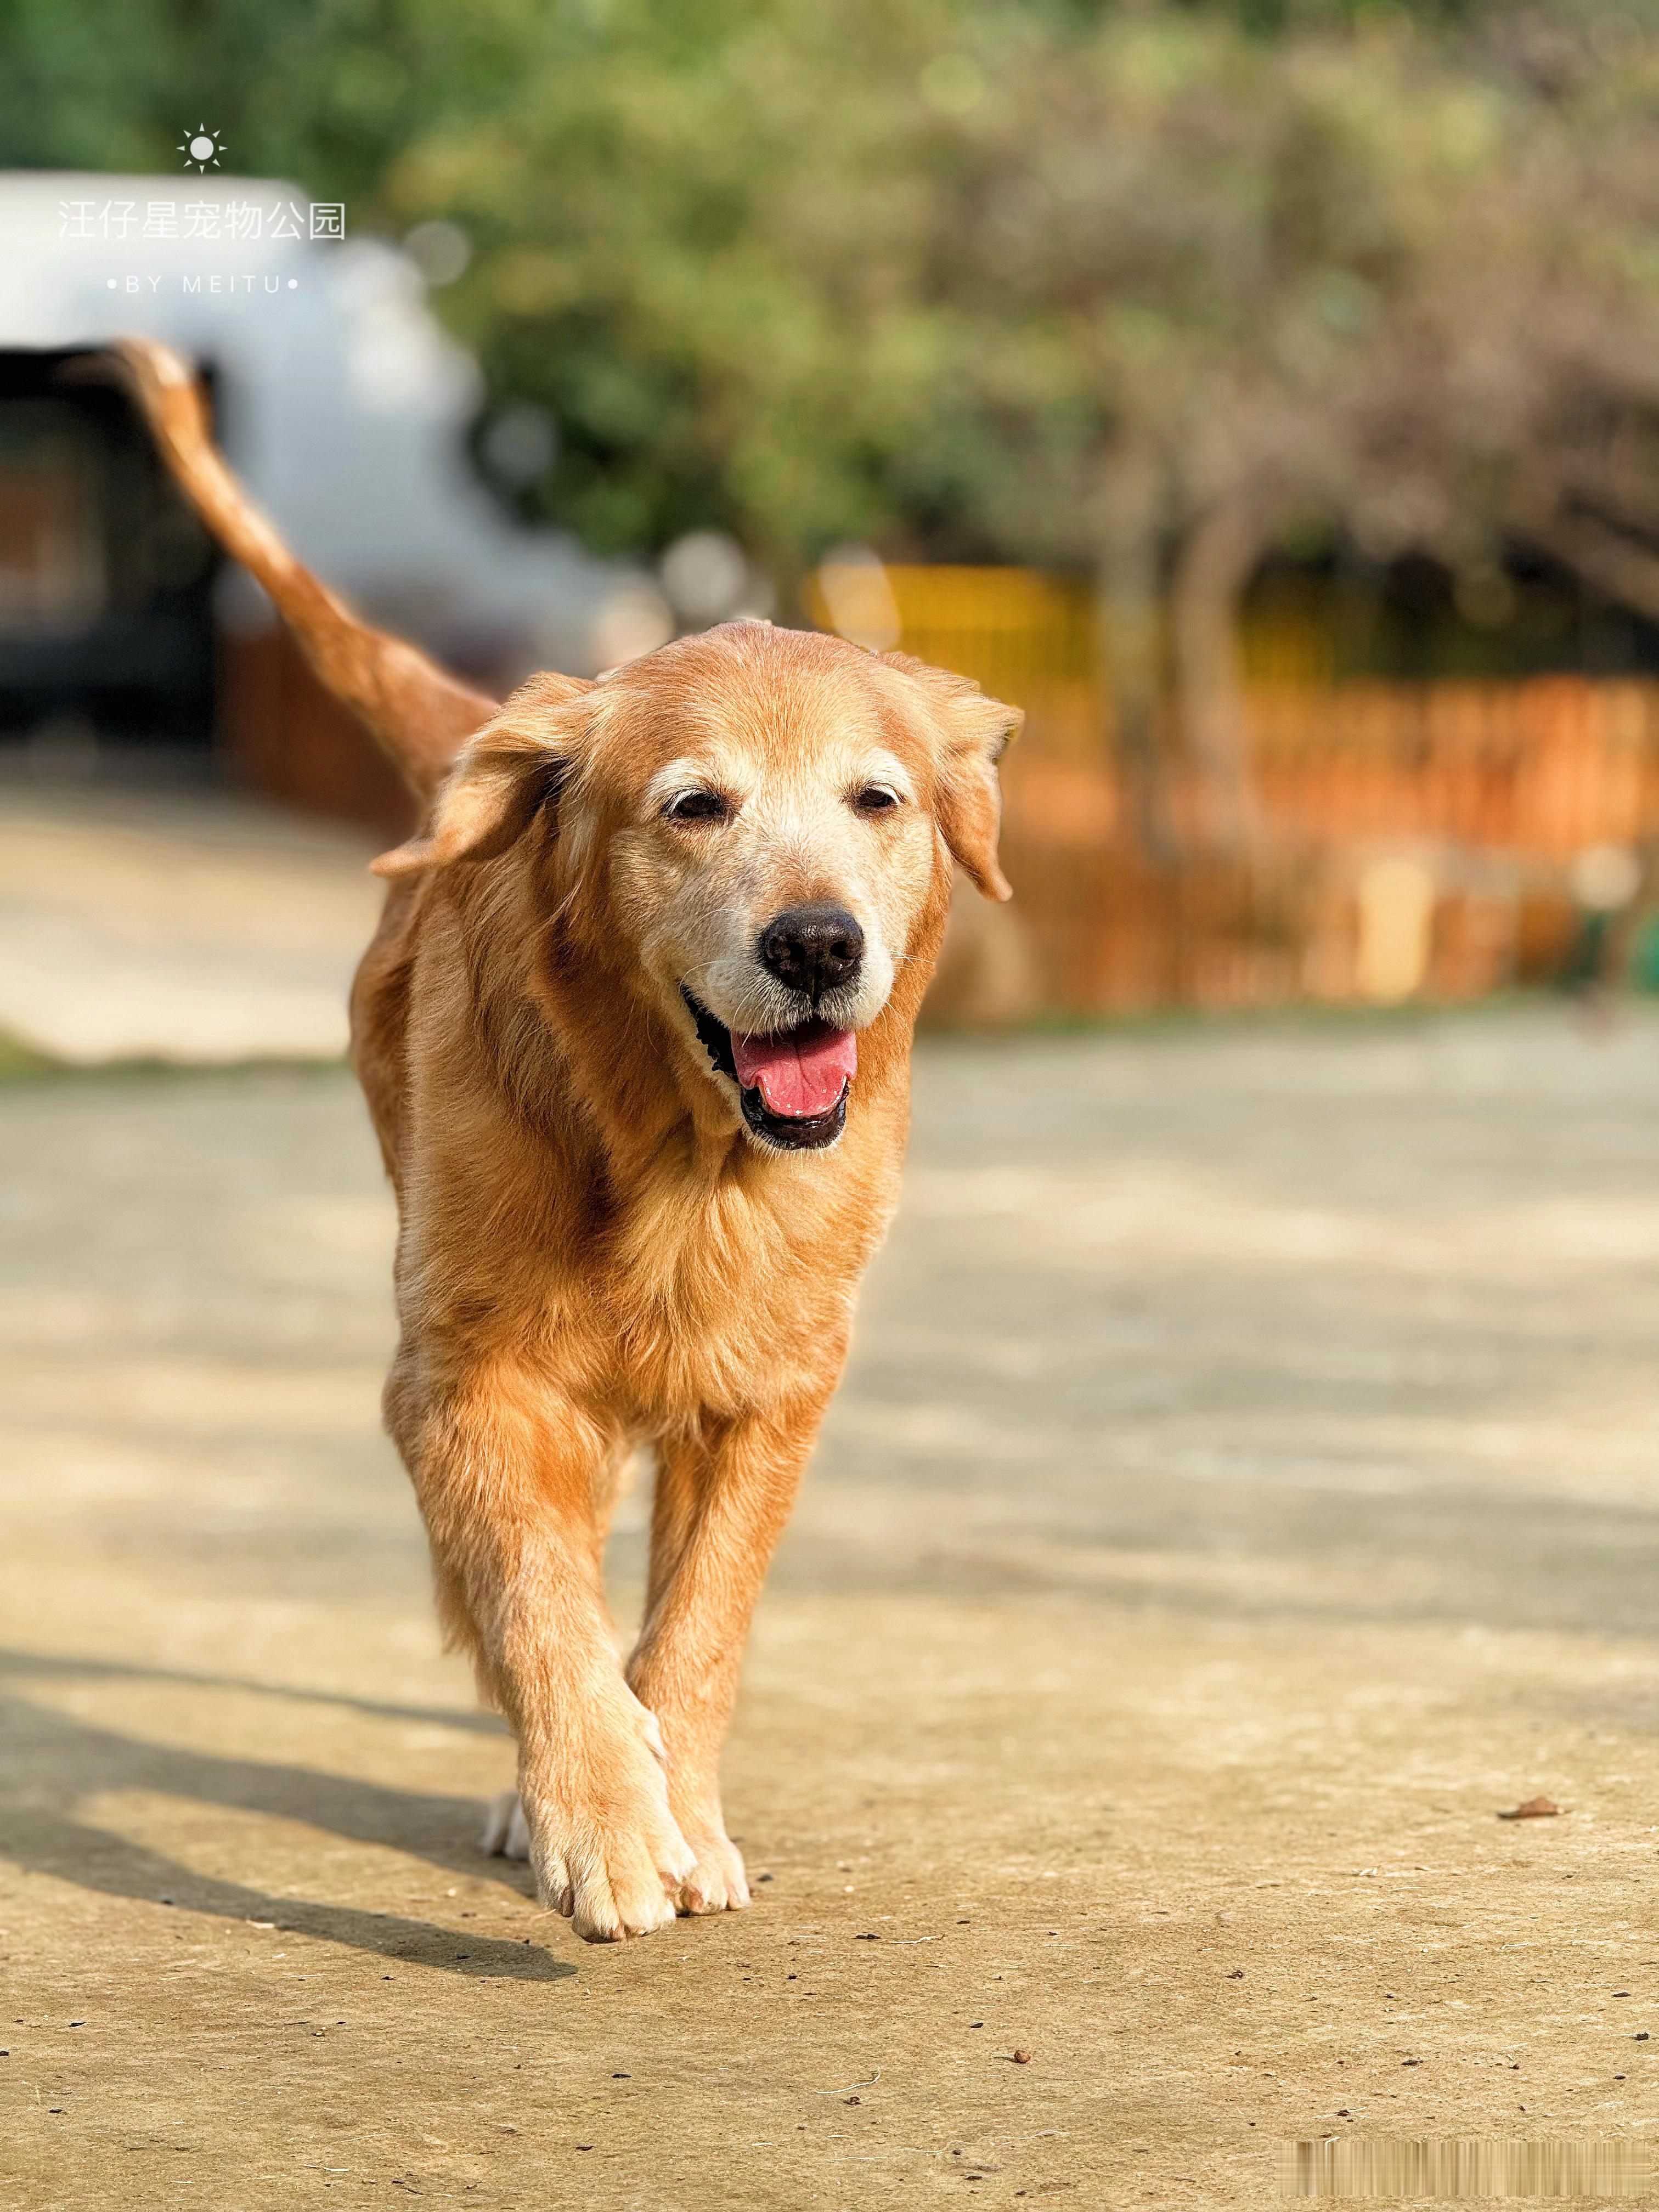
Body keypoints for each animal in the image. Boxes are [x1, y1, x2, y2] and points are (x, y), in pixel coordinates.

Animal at [110, 327, 1022, 1938]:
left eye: (879, 799)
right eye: (695, 806)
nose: (816, 944)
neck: (682, 1158)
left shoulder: (773, 1389)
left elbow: (699, 1626)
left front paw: (679, 1812)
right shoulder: (471, 1377)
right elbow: (537, 1602)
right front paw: (599, 1819)